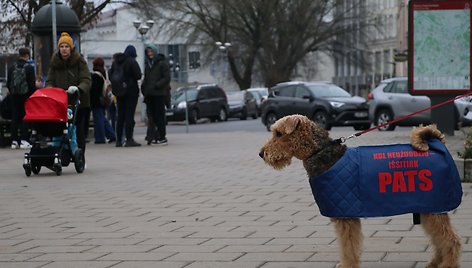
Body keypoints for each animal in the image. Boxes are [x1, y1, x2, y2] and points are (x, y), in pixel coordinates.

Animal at [258, 114, 460, 268]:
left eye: (279, 133)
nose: (261, 154)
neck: (322, 154)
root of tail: (439, 143)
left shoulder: (346, 218)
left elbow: (348, 248)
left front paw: (346, 265)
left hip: (434, 207)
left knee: (451, 240)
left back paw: (448, 265)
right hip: (429, 210)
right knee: (439, 240)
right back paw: (434, 263)